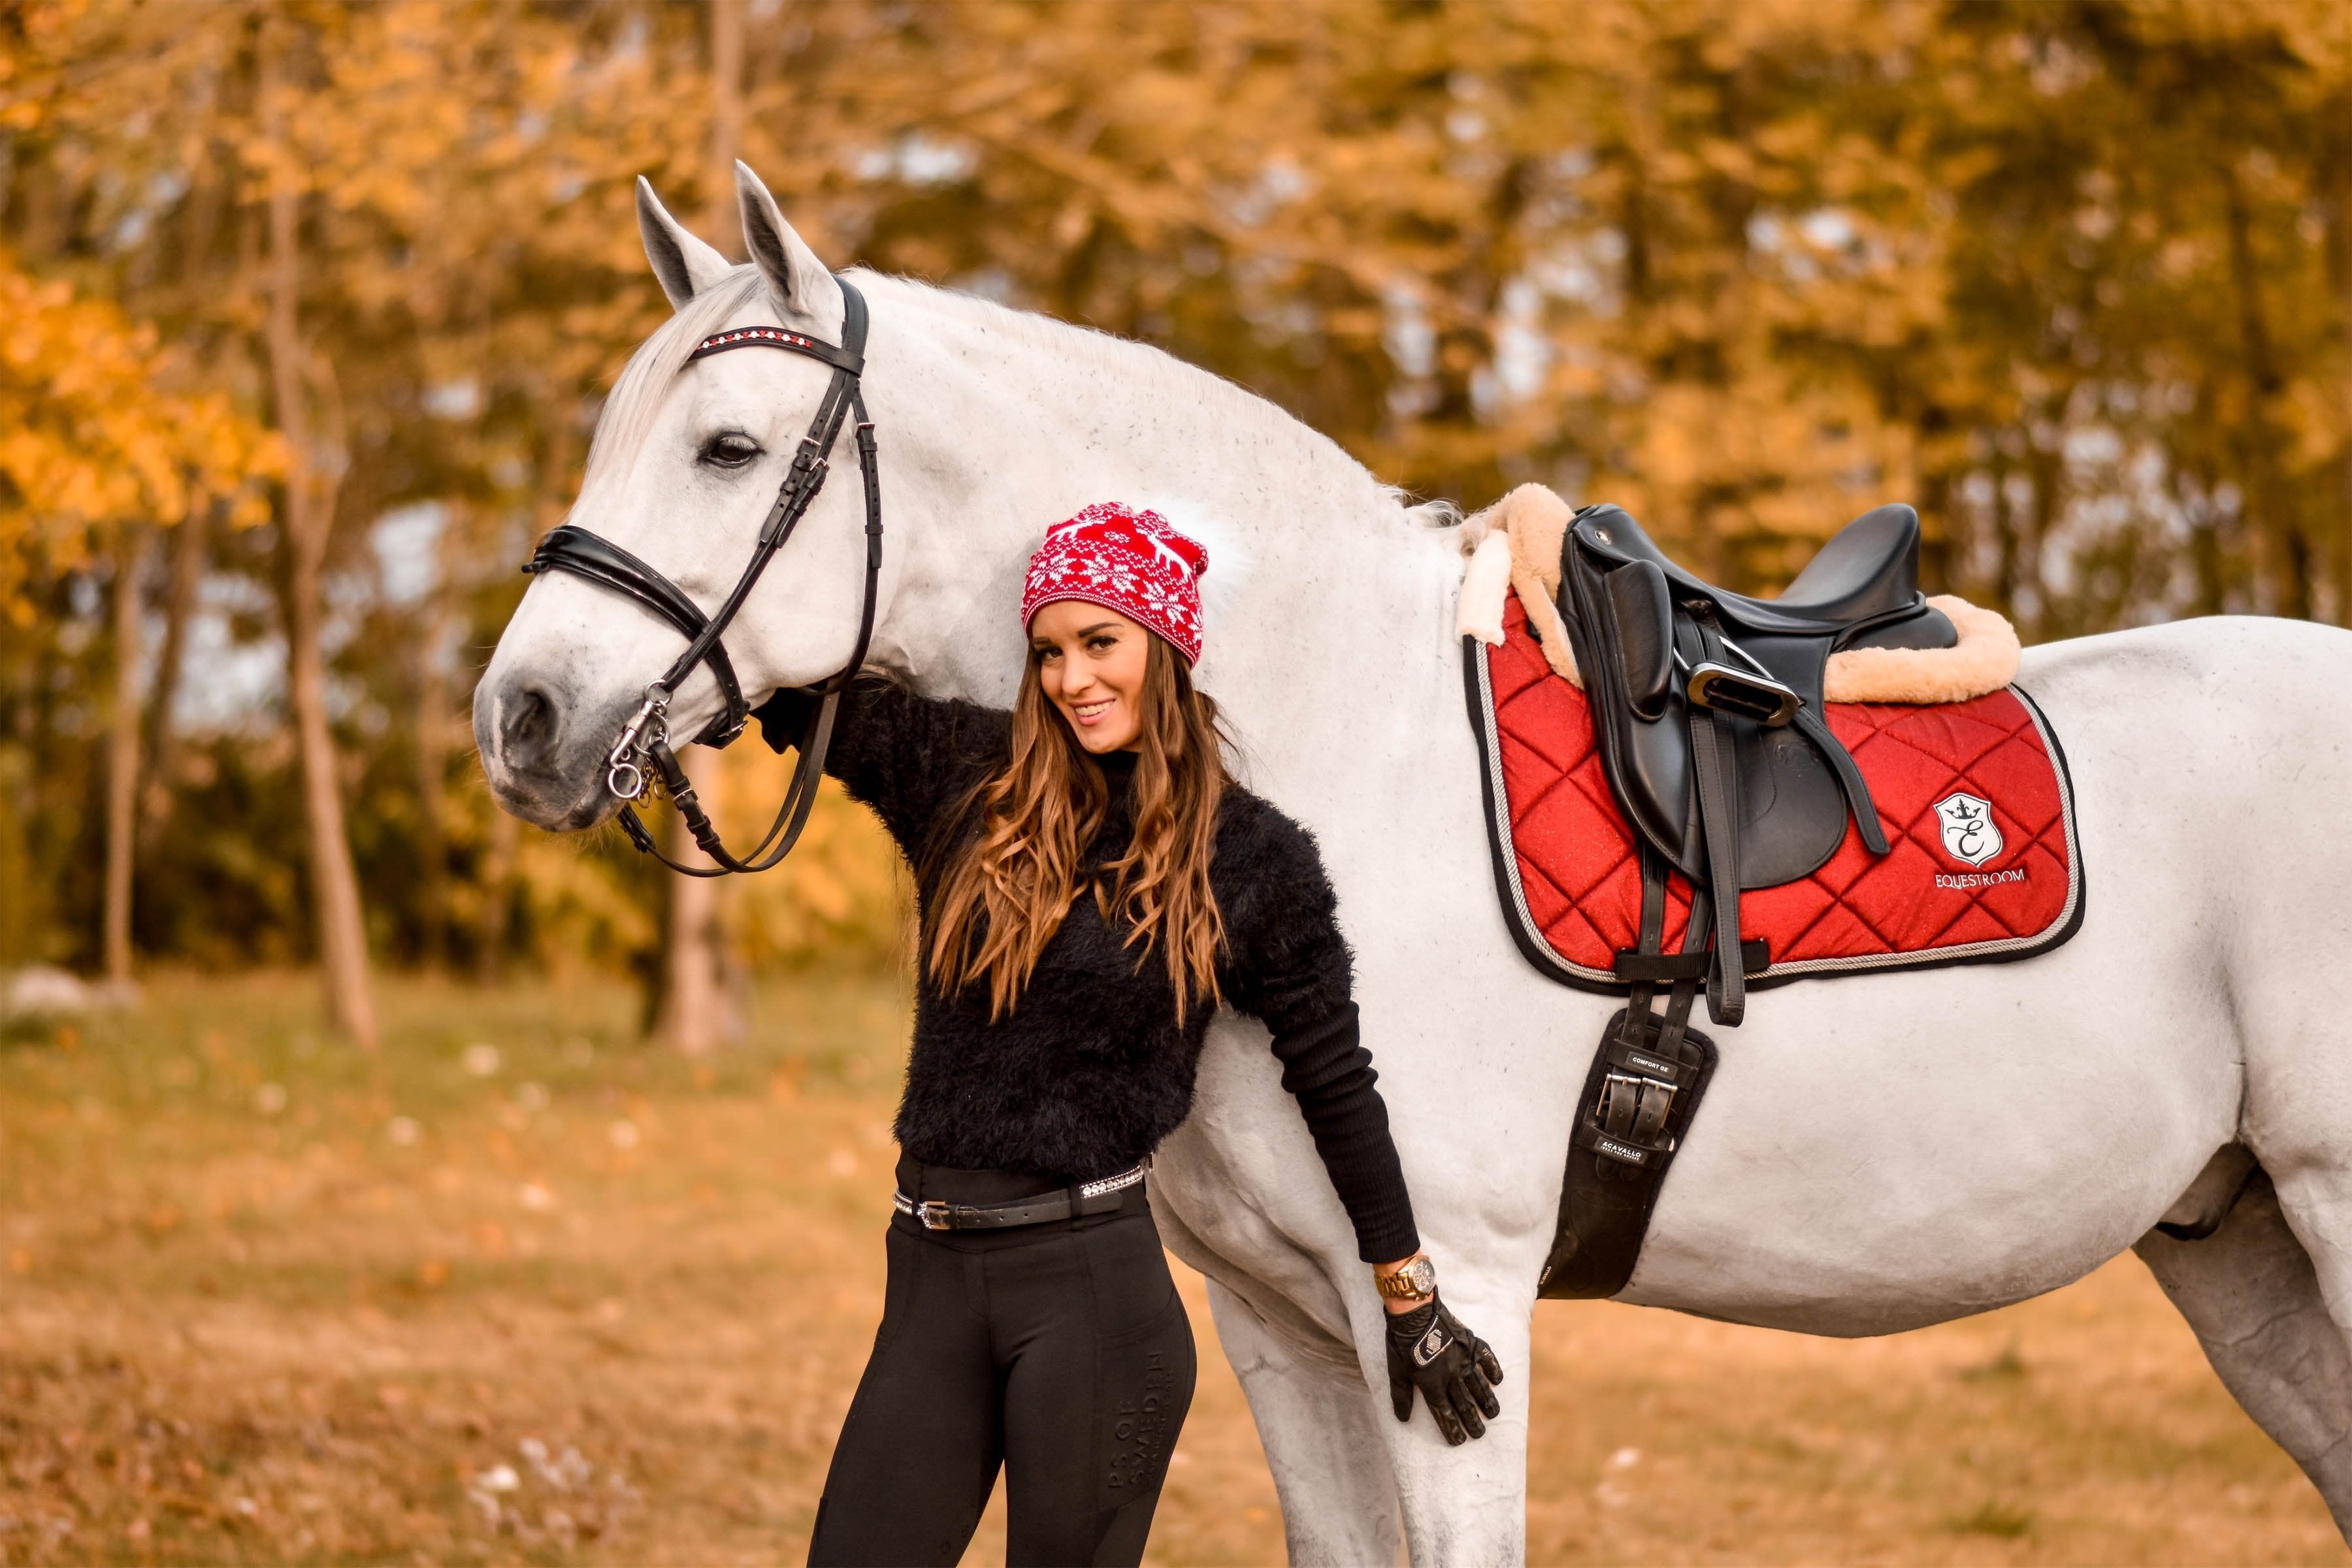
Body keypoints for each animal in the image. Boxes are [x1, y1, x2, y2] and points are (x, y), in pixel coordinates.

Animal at [472, 165, 2352, 1561]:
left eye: (726, 448)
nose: (521, 717)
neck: (1334, 748)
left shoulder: (1455, 1326)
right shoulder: (1283, 1326)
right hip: (2245, 1254)